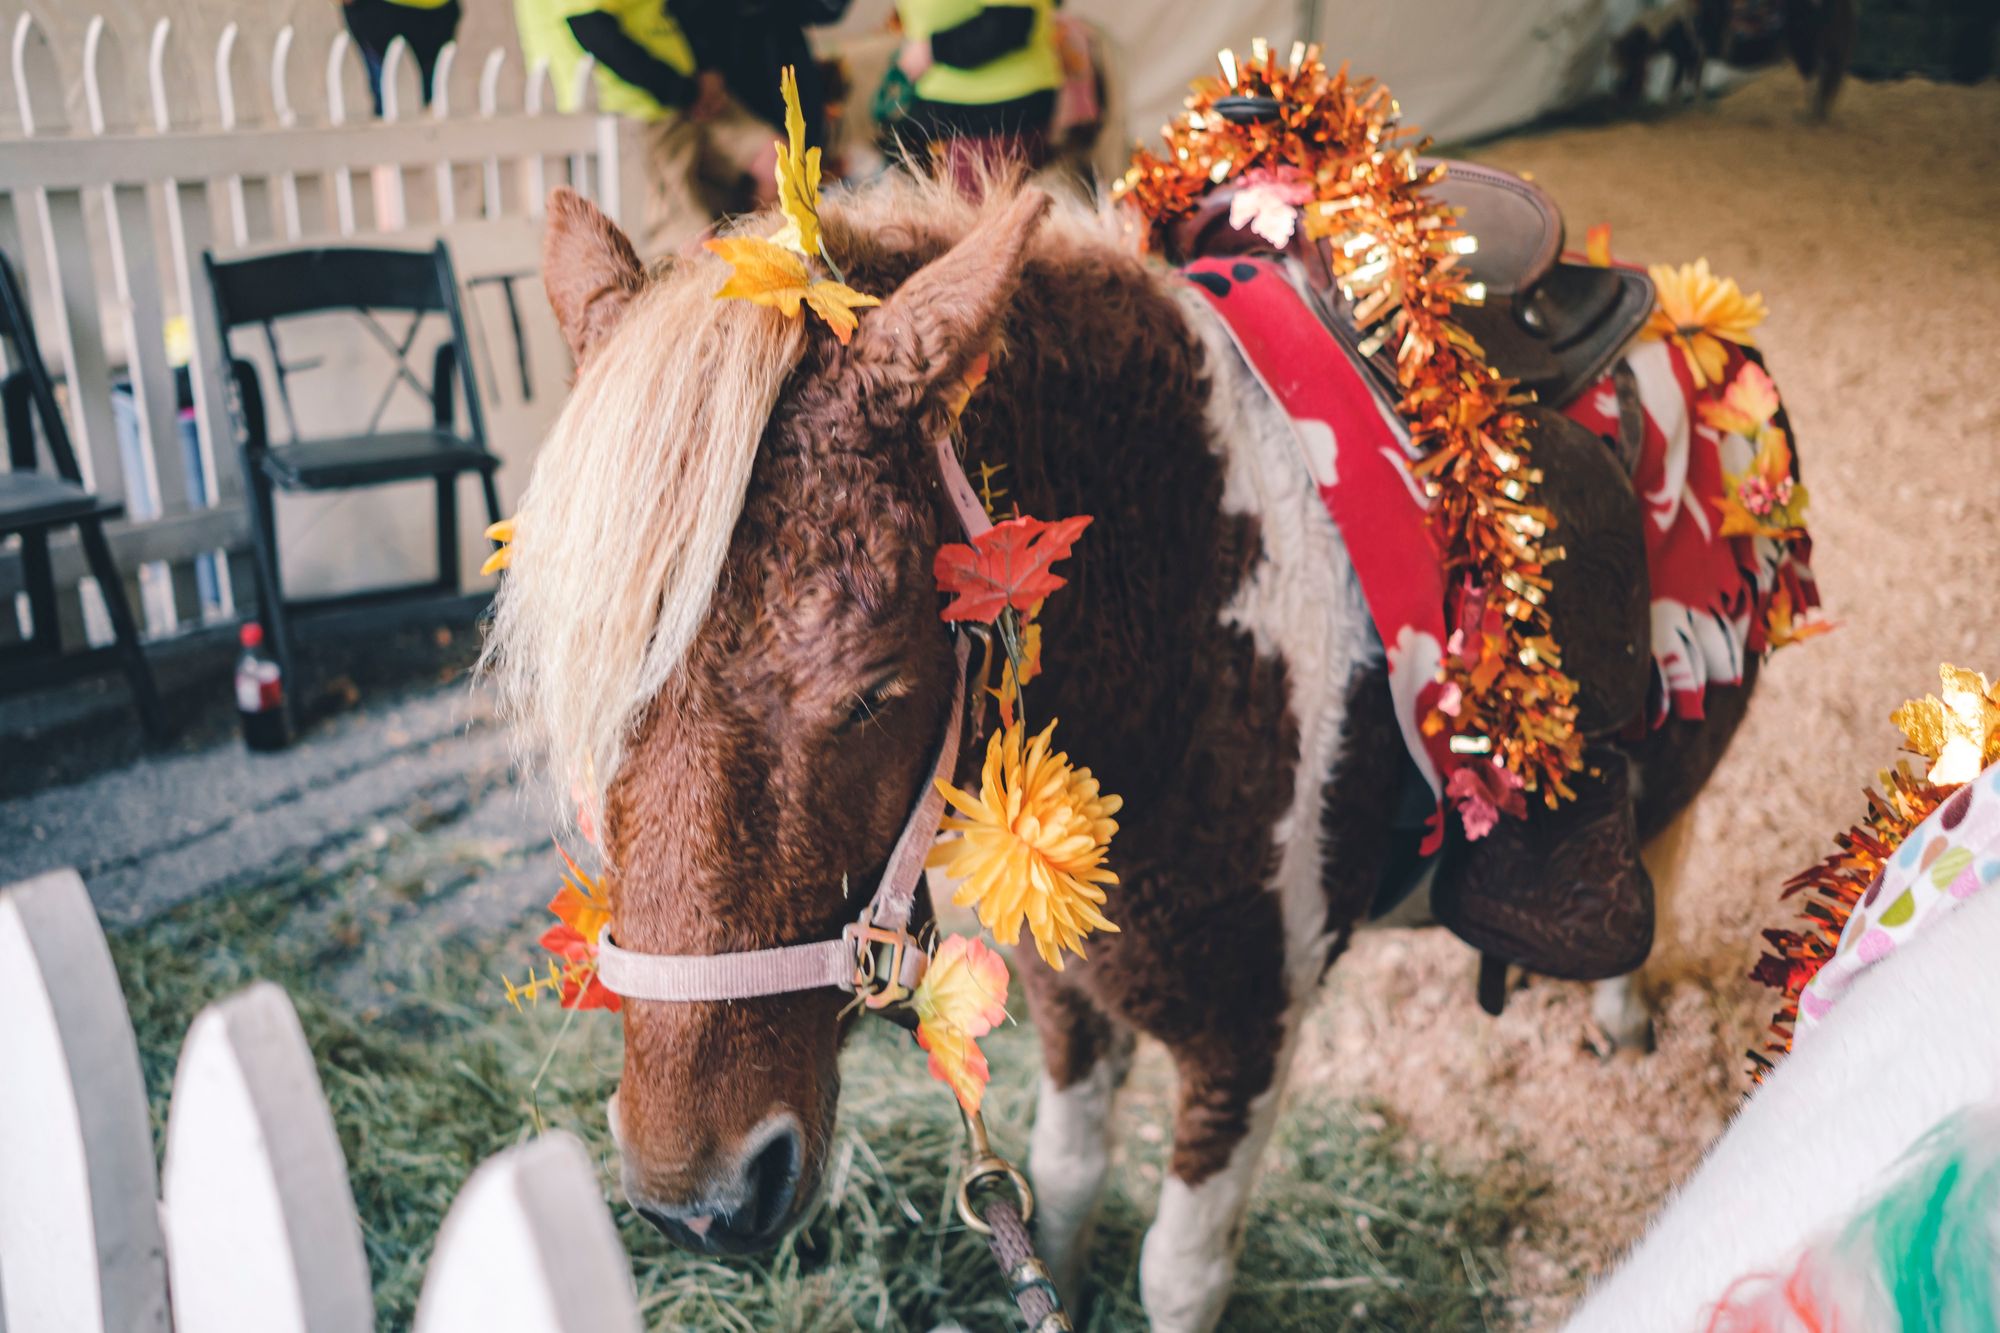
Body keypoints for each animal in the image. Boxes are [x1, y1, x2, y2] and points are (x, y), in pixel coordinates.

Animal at [480, 179, 1752, 1328]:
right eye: (581, 692)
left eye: (874, 688)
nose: (699, 1198)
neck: (1191, 627)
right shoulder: (1067, 992)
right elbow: (1063, 1191)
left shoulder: (1249, 1036)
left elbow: (1179, 1276)